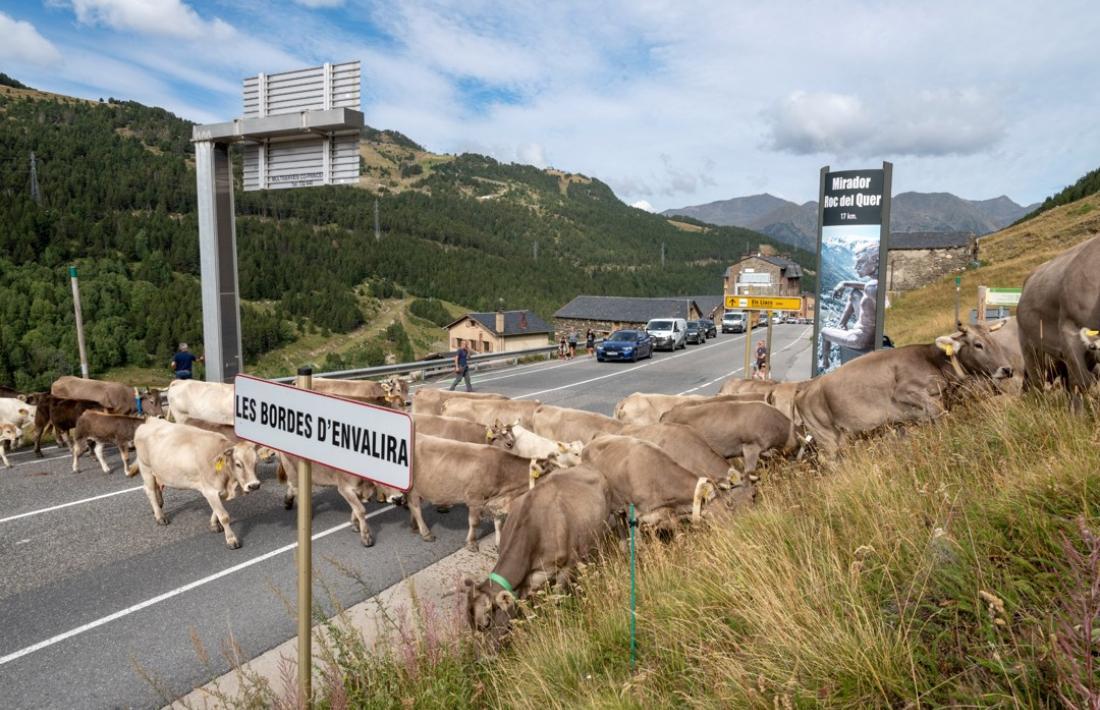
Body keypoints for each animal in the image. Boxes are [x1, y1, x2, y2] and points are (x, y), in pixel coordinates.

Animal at [128, 418, 259, 550]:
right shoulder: (210, 490)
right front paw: (231, 540)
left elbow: (216, 511)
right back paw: (160, 516)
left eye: (256, 462)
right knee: (149, 490)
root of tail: (150, 421)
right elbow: (224, 516)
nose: (254, 485)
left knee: (157, 487)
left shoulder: (218, 491)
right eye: (238, 464)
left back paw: (159, 506)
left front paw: (213, 524)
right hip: (146, 468)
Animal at [459, 464, 616, 638]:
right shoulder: (528, 581)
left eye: (486, 624)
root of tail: (587, 466)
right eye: (470, 624)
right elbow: (525, 608)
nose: (484, 647)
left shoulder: (567, 565)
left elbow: (557, 599)